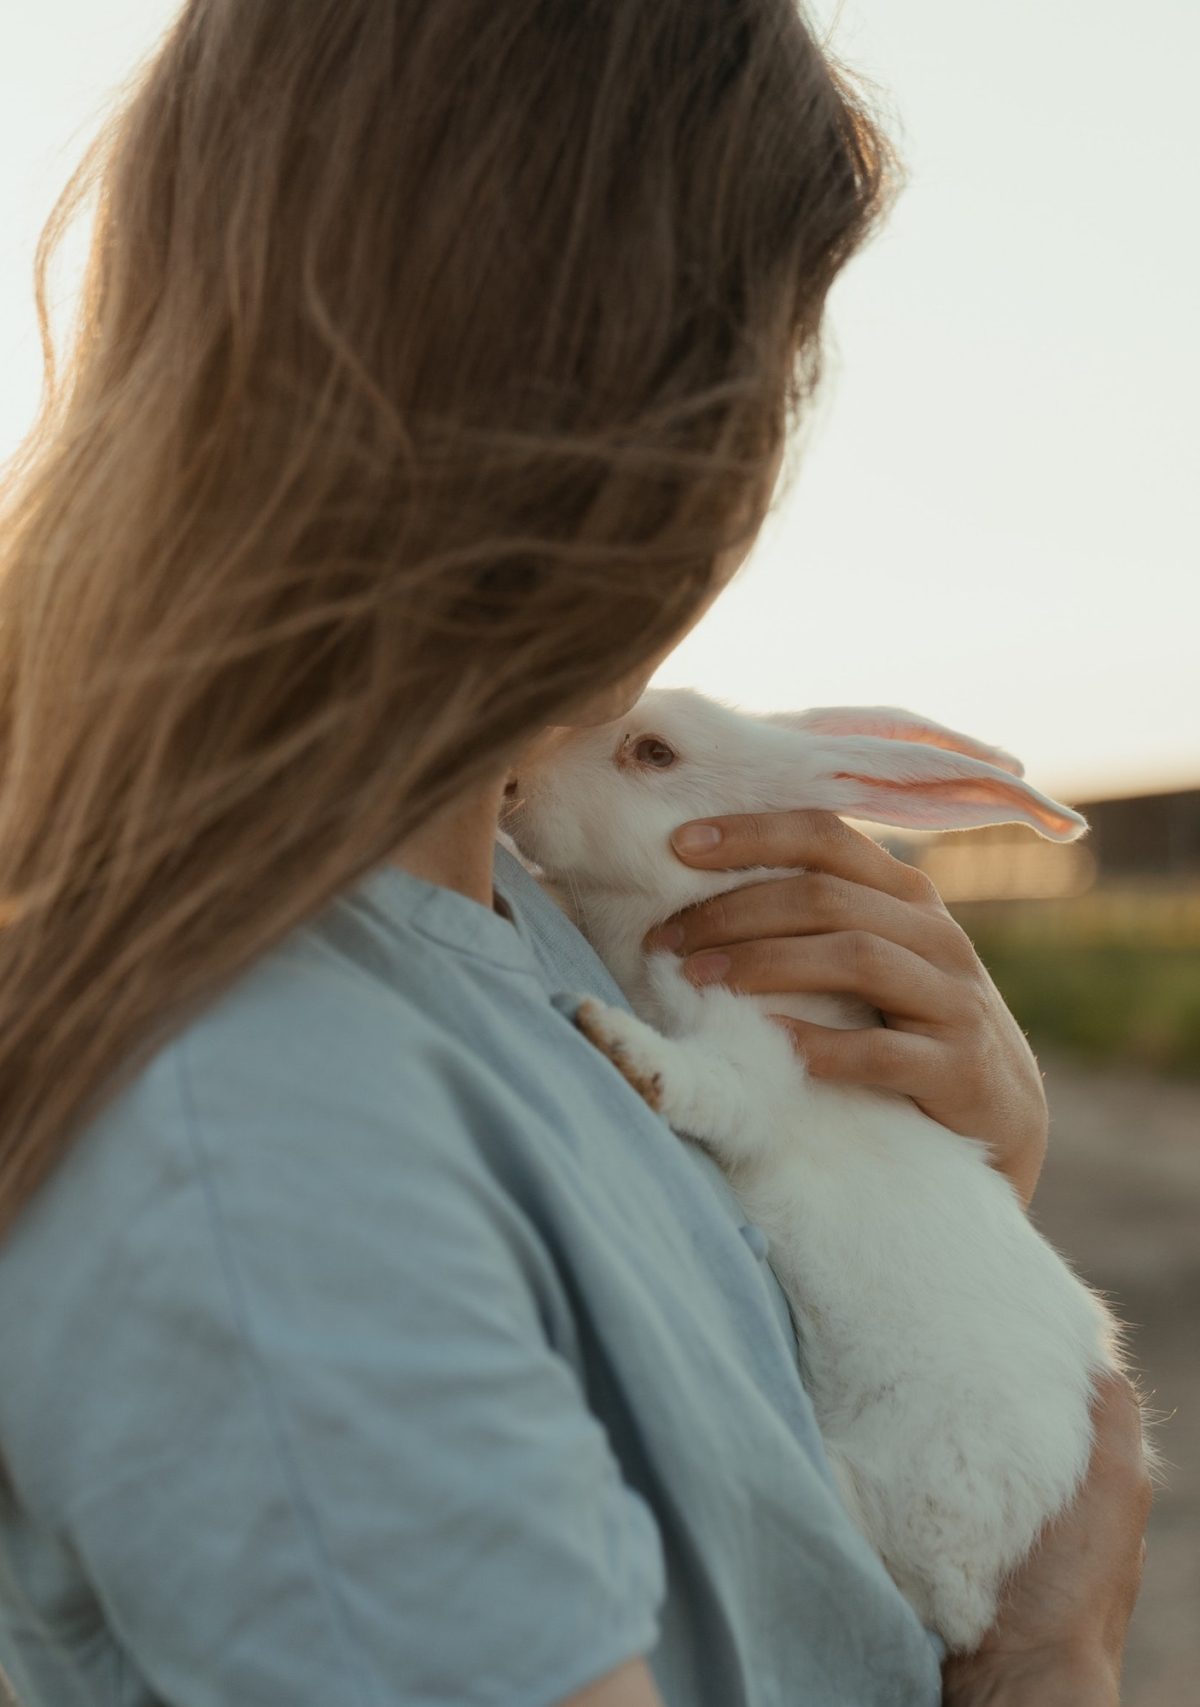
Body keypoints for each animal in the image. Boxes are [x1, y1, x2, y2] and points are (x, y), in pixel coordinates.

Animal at [503, 687, 1126, 1653]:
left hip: (913, 1486)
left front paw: (617, 1040)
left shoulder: (762, 1055)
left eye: (654, 752)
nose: (515, 783)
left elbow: (705, 1083)